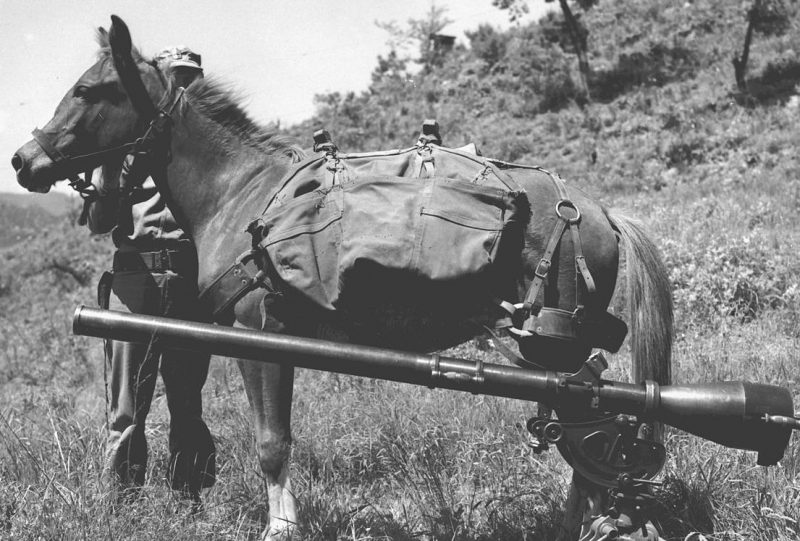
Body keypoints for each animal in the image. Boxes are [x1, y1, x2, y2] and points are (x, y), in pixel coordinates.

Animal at [12, 14, 672, 536]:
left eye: (88, 89)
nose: (23, 159)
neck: (239, 191)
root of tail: (598, 212)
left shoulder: (261, 337)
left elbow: (271, 443)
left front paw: (281, 527)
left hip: (554, 352)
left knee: (593, 441)